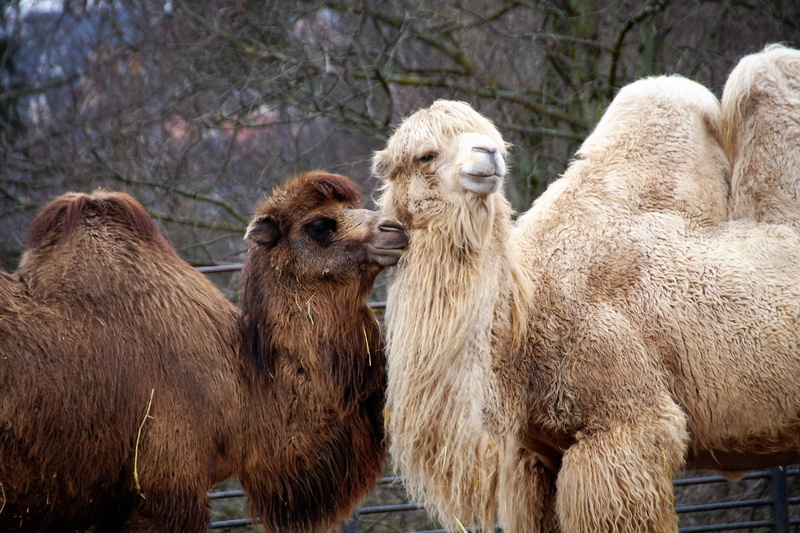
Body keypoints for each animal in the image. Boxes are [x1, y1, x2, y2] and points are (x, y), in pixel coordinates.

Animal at [374, 75, 800, 531]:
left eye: (491, 137)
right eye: (425, 155)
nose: (488, 154)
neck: (524, 329)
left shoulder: (626, 429)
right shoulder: (533, 462)